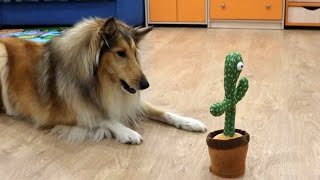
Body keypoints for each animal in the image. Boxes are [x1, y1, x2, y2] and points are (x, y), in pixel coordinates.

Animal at [0, 17, 205, 144]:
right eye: (120, 53)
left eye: (134, 53)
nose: (145, 85)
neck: (101, 83)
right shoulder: (60, 115)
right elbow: (102, 118)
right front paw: (127, 132)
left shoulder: (127, 97)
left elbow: (161, 111)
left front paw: (189, 122)